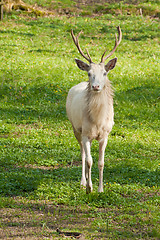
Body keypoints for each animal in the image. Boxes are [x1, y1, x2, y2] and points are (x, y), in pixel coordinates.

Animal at [65, 26, 122, 194]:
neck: (97, 120)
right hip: (75, 128)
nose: (95, 86)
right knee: (83, 154)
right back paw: (83, 181)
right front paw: (89, 188)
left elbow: (101, 162)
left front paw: (100, 189)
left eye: (105, 72)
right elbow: (89, 160)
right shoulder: (86, 133)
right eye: (89, 73)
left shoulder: (105, 134)